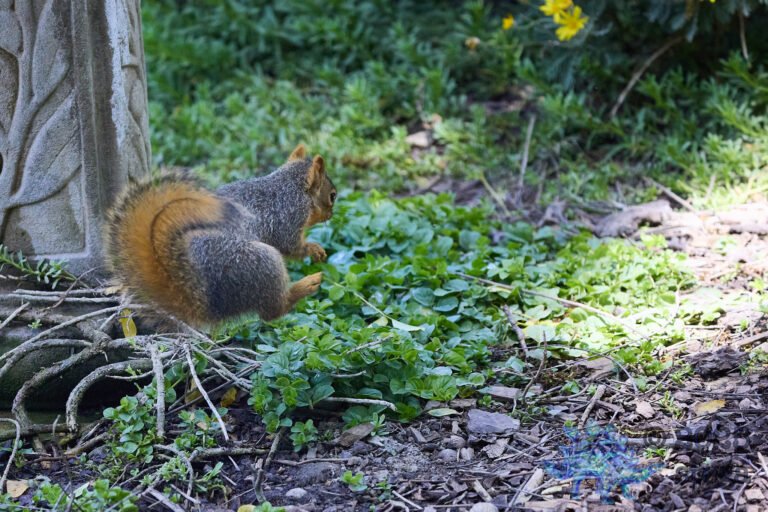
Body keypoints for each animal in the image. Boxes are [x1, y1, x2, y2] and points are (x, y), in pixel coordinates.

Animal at [104, 144, 336, 327]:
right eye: (332, 196)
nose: (331, 215)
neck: (287, 186)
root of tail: (205, 304)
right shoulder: (287, 216)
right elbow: (290, 246)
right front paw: (314, 249)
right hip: (260, 263)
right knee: (272, 312)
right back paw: (307, 285)